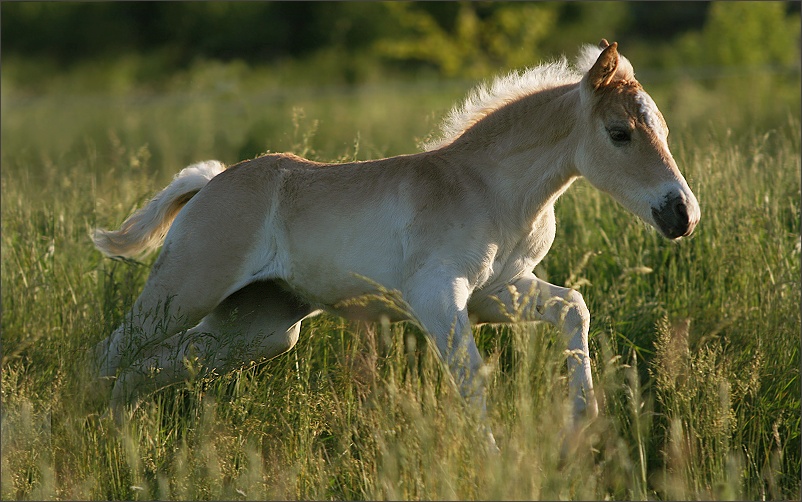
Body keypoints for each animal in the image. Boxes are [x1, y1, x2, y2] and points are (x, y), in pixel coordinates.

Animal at [92, 40, 692, 448]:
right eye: (619, 133)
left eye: (664, 128)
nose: (681, 214)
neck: (488, 190)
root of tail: (210, 183)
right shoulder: (437, 295)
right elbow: (473, 380)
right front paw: (495, 458)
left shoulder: (496, 291)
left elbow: (574, 307)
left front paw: (581, 423)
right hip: (184, 291)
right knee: (111, 352)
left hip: (259, 328)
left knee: (156, 365)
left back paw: (125, 436)